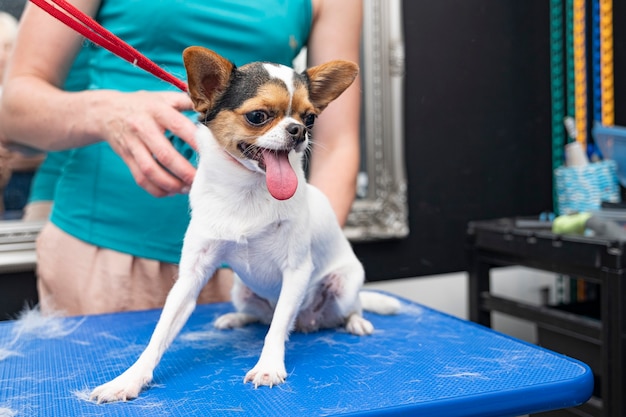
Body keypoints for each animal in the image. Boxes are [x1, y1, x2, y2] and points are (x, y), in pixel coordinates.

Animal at [90, 47, 398, 402]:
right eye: (258, 116)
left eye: (310, 118)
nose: (299, 131)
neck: (247, 192)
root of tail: (308, 323)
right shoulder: (190, 277)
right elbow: (159, 334)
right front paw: (128, 379)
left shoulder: (297, 271)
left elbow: (277, 328)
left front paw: (268, 366)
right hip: (240, 289)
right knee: (260, 315)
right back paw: (235, 317)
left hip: (344, 285)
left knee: (345, 308)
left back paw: (356, 322)